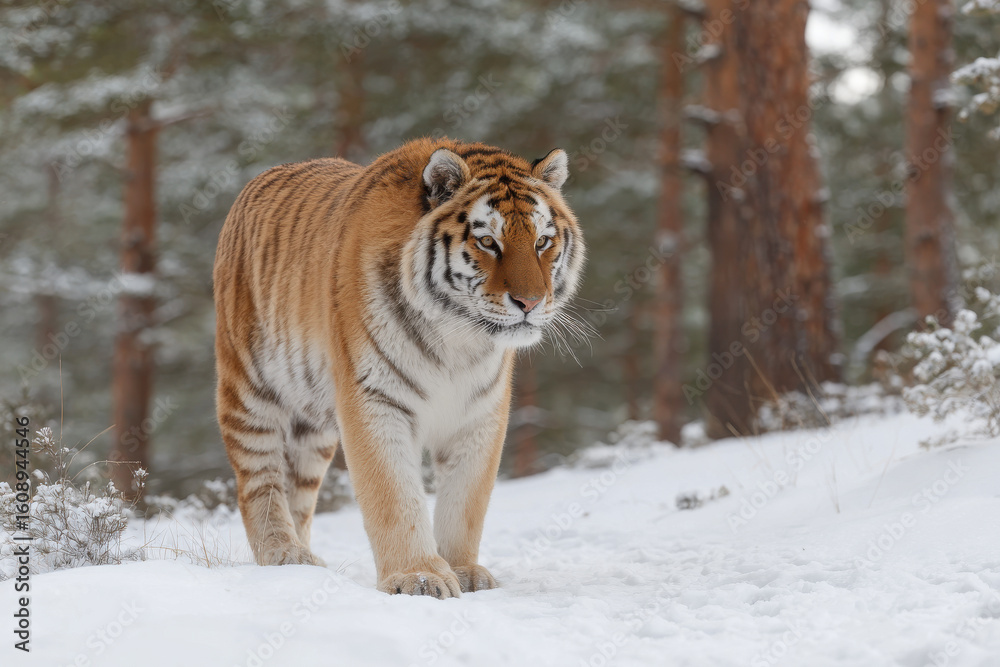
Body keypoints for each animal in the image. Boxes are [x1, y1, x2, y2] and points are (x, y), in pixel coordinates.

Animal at [213, 138, 585, 598]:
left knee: (297, 490)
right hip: (249, 390)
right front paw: (419, 577)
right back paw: (283, 555)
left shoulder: (480, 413)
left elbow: (466, 501)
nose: (530, 303)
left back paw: (304, 562)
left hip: (310, 426)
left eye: (542, 242)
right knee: (259, 480)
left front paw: (464, 571)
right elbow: (393, 494)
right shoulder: (373, 400)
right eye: (488, 242)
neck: (458, 339)